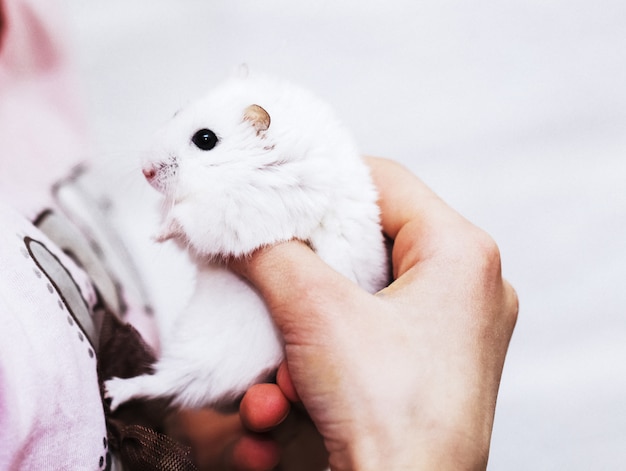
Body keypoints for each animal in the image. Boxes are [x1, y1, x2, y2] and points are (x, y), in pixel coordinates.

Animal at [105, 72, 388, 412]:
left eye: (205, 139)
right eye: (175, 113)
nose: (145, 171)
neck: (243, 168)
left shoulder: (241, 211)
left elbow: (190, 219)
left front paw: (155, 234)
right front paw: (157, 228)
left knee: (170, 382)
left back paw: (113, 390)